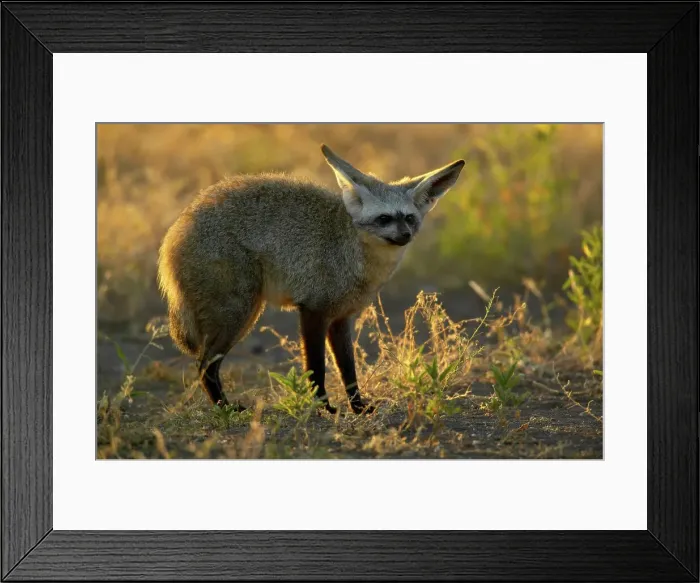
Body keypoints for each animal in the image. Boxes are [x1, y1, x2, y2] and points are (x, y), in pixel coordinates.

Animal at [157, 144, 464, 414]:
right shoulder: (313, 311)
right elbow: (317, 368)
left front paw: (358, 407)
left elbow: (348, 370)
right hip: (240, 314)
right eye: (384, 218)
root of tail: (177, 228)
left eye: (409, 218)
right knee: (204, 366)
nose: (404, 236)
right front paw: (324, 407)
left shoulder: (341, 318)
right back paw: (226, 408)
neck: (352, 251)